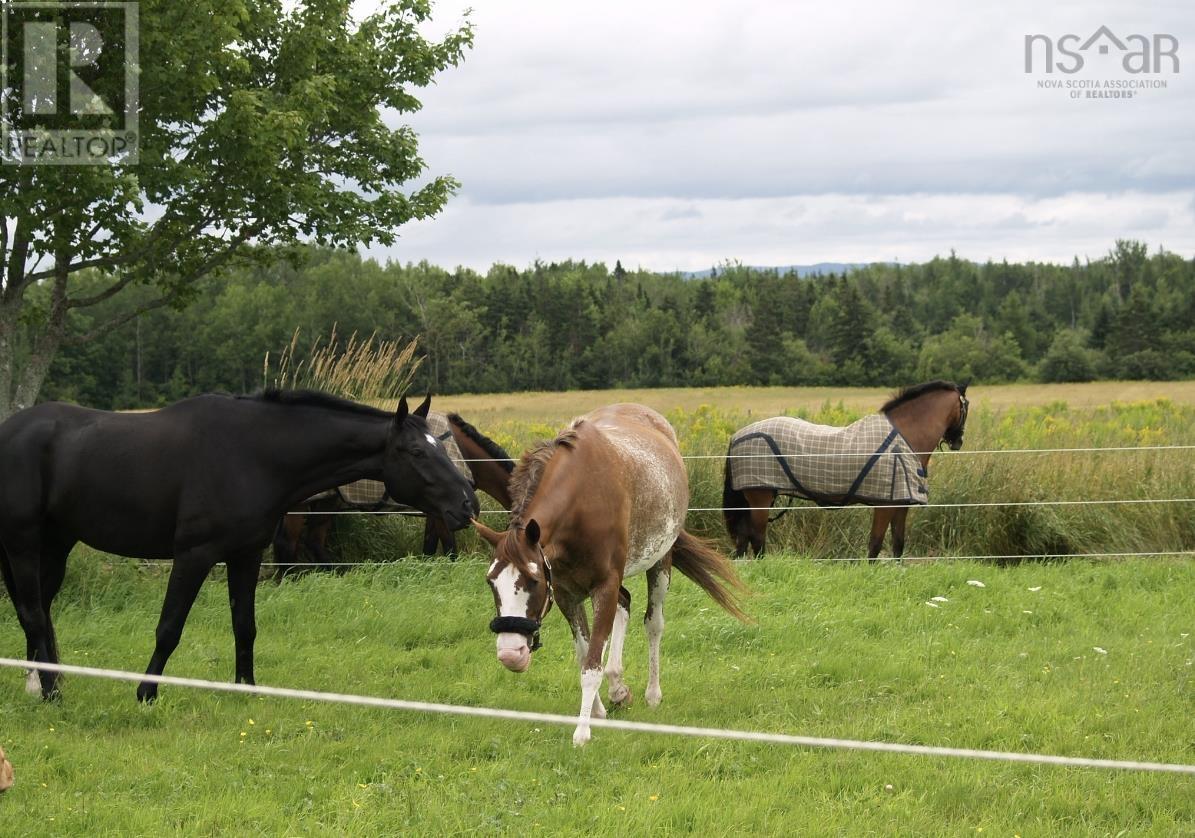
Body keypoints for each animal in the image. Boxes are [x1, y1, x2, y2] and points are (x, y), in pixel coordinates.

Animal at [0, 389, 475, 698]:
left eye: (439, 445)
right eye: (417, 452)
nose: (467, 502)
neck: (252, 454)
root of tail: (10, 430)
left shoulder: (245, 557)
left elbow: (245, 626)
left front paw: (245, 688)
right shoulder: (194, 556)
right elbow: (169, 627)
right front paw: (146, 693)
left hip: (56, 544)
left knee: (40, 611)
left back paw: (42, 682)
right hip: (22, 544)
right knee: (32, 613)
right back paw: (50, 692)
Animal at [273, 411, 516, 576]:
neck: (463, 454)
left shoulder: (436, 513)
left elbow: (429, 548)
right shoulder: (444, 513)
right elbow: (450, 550)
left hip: (328, 502)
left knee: (313, 541)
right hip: (300, 507)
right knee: (288, 545)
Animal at [470, 404, 740, 745]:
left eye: (533, 580)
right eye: (490, 581)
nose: (510, 653)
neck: (582, 502)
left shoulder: (604, 585)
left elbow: (592, 664)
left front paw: (582, 731)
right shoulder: (565, 593)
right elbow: (585, 653)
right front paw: (599, 709)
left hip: (660, 563)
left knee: (653, 624)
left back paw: (652, 694)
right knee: (624, 603)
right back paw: (618, 688)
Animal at [717, 382, 970, 559]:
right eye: (965, 407)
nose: (958, 442)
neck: (905, 438)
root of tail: (737, 436)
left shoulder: (901, 505)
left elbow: (898, 544)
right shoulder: (885, 505)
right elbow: (875, 544)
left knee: (743, 539)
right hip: (759, 497)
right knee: (757, 539)